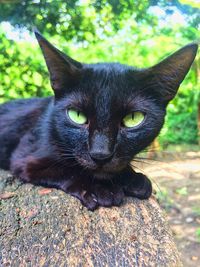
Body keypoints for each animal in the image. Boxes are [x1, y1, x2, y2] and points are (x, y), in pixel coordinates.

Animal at [0, 31, 197, 211]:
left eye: (133, 118)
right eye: (77, 115)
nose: (100, 154)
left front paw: (133, 178)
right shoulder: (25, 159)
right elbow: (68, 168)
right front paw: (103, 188)